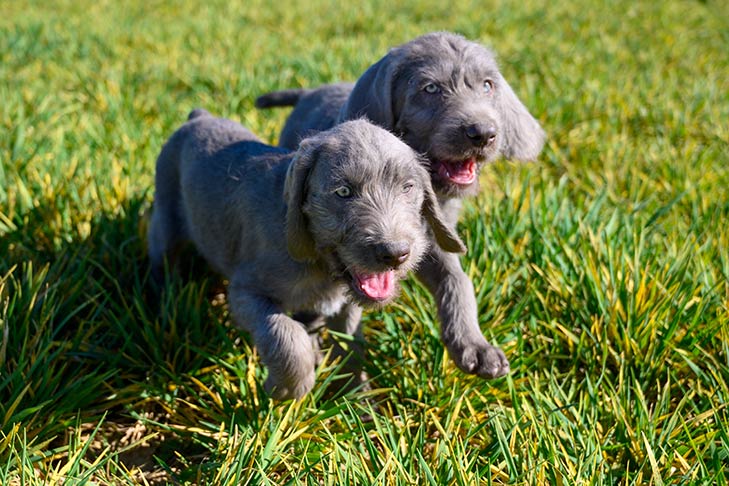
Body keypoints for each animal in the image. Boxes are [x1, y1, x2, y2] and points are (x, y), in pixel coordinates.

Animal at [253, 32, 544, 380]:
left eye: (488, 85)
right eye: (430, 89)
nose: (484, 133)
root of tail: (310, 91)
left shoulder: (430, 239)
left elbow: (458, 281)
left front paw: (474, 345)